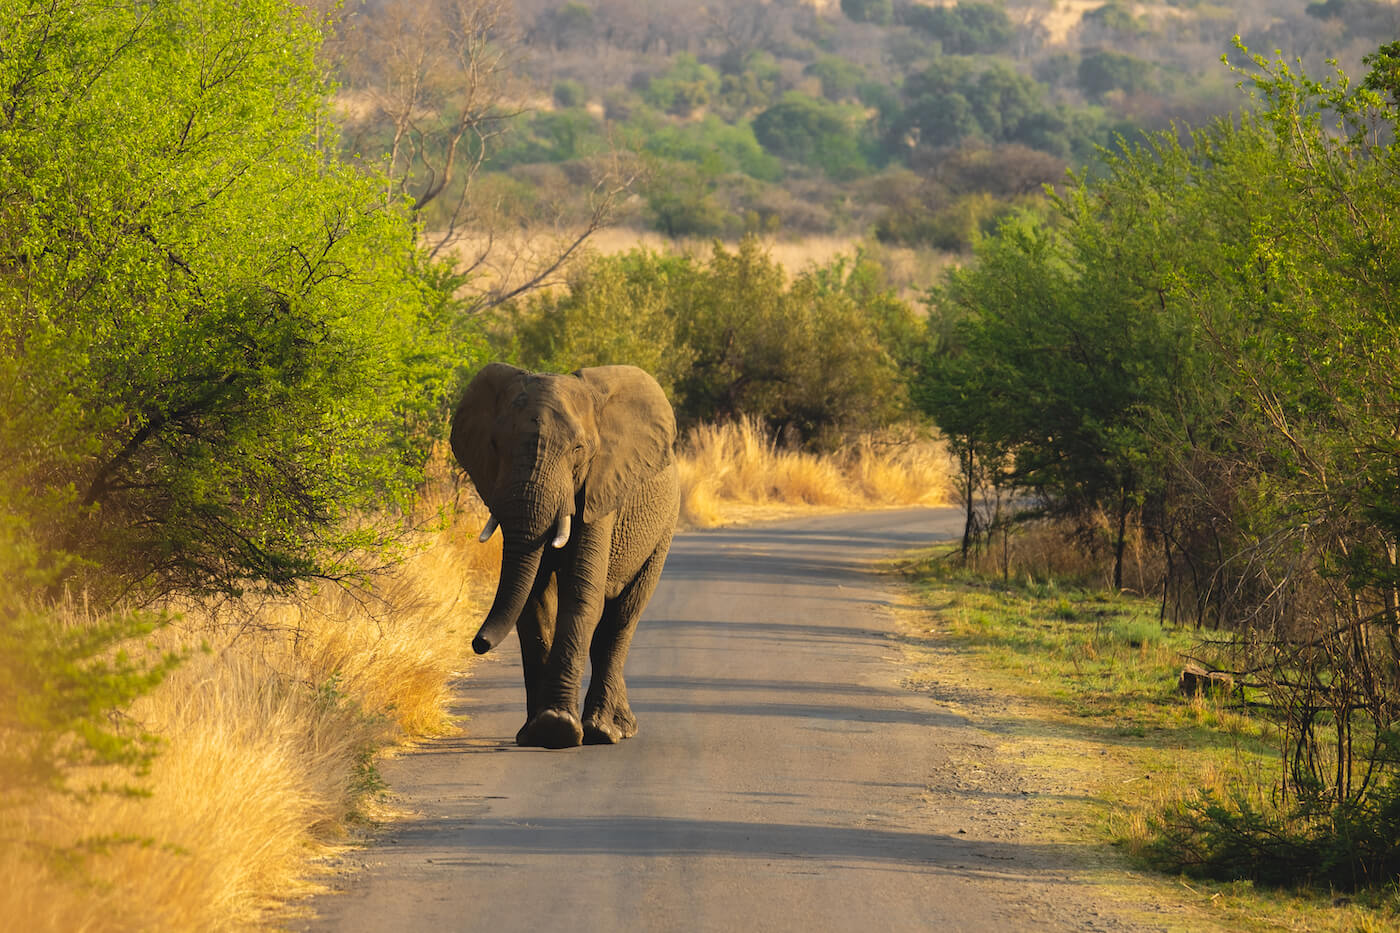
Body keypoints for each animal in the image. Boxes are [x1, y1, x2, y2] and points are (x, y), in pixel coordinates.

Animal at [450, 358, 680, 745]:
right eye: (495, 445)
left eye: (578, 450)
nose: (478, 643)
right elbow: (535, 600)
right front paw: (538, 732)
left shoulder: (600, 490)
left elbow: (580, 592)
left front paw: (558, 728)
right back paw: (617, 727)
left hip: (663, 529)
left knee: (622, 619)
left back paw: (606, 731)